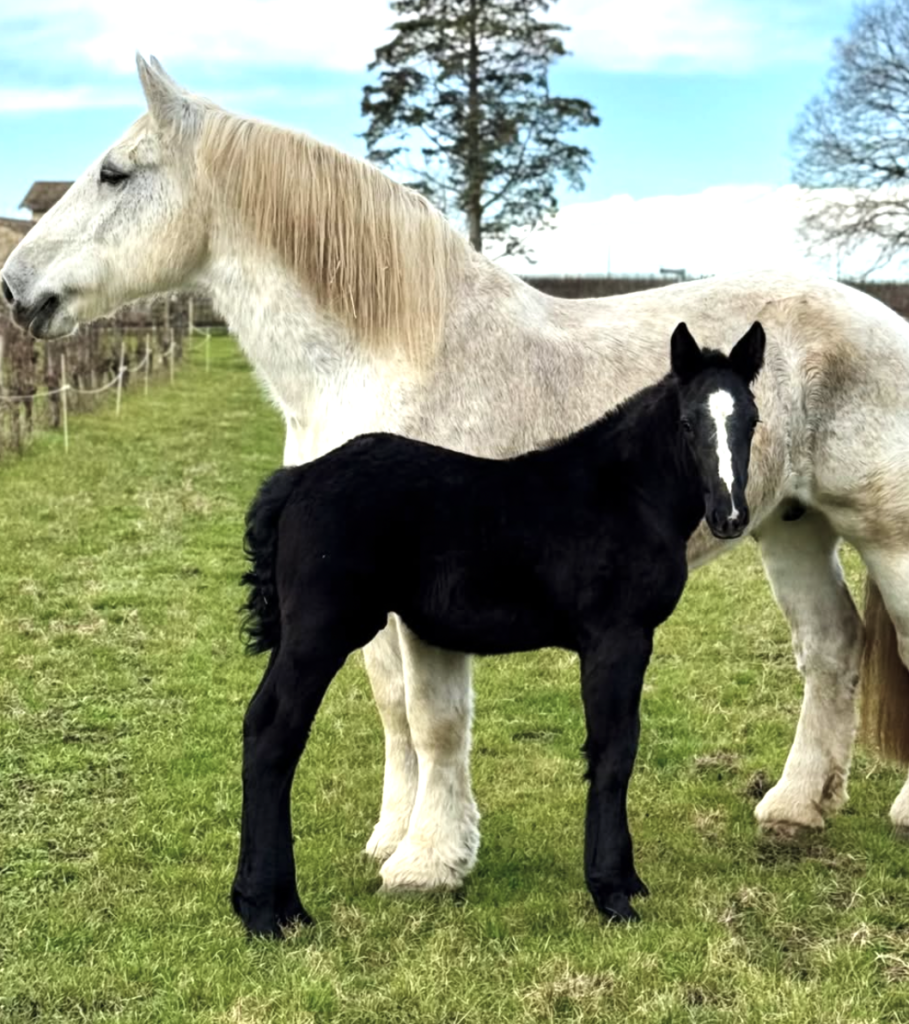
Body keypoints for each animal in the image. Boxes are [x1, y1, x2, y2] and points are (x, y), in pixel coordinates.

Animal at [234, 322, 765, 935]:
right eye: (687, 423)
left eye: (751, 420)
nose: (730, 516)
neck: (625, 492)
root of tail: (298, 480)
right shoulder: (617, 638)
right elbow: (614, 750)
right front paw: (612, 892)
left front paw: (626, 881)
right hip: (320, 632)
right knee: (274, 732)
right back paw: (269, 910)